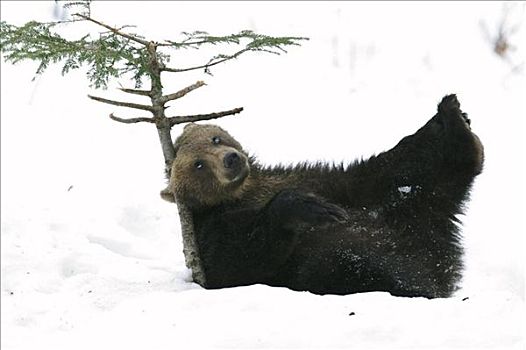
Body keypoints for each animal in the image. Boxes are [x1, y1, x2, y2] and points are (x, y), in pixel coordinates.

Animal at [162, 95, 486, 298]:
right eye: (198, 164)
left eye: (215, 138)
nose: (231, 159)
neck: (246, 191)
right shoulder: (211, 229)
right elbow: (235, 262)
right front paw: (307, 207)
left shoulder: (313, 178)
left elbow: (376, 176)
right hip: (340, 260)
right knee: (345, 264)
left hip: (412, 216)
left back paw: (458, 129)